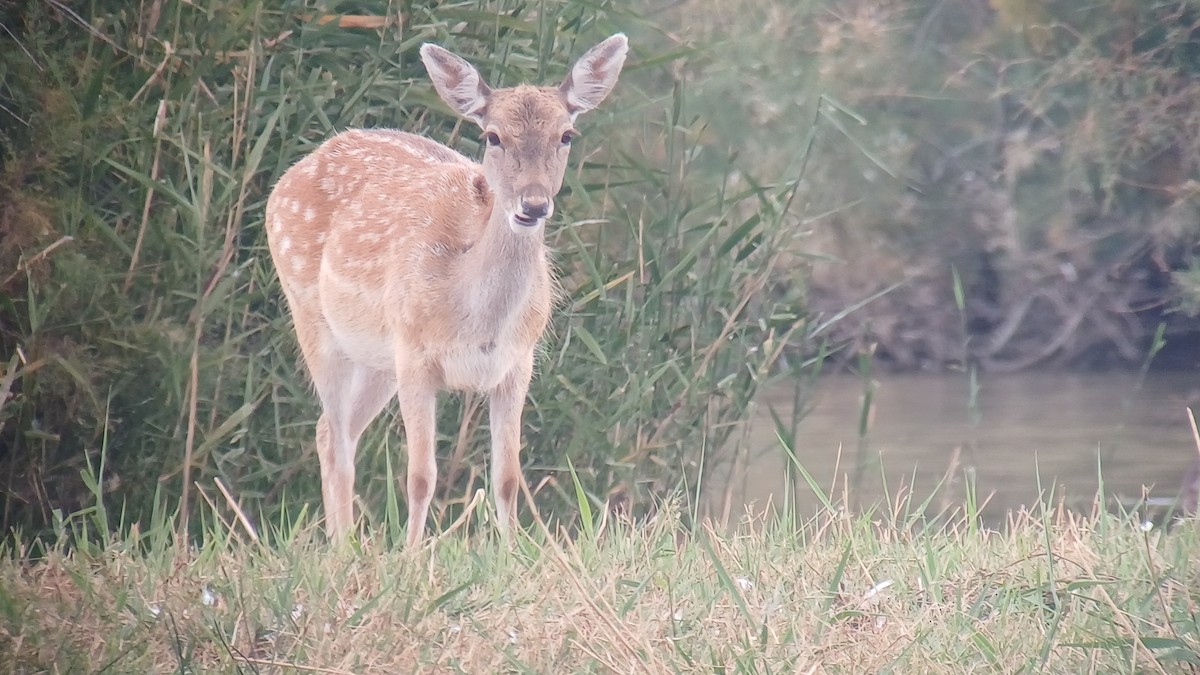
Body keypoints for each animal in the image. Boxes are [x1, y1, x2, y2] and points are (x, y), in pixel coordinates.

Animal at [264, 34, 629, 545]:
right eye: (493, 136)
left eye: (566, 135)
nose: (533, 205)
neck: (477, 322)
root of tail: (292, 172)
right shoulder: (415, 353)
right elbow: (420, 475)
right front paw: (412, 555)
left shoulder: (518, 362)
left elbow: (507, 476)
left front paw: (510, 552)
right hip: (313, 316)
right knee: (335, 435)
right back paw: (342, 547)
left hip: (377, 358)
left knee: (331, 430)